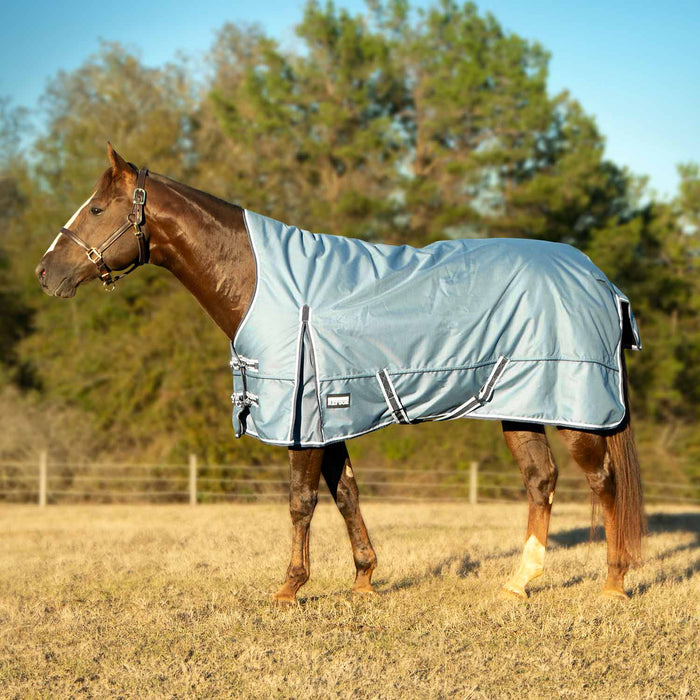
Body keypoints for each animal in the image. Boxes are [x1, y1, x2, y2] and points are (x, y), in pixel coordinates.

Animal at [35, 144, 646, 602]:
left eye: (96, 209)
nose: (46, 272)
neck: (264, 284)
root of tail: (600, 279)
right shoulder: (329, 417)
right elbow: (346, 493)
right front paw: (363, 580)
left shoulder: (301, 417)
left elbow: (301, 501)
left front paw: (289, 589)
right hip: (519, 406)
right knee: (541, 481)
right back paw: (519, 583)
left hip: (577, 409)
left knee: (603, 483)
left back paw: (613, 584)